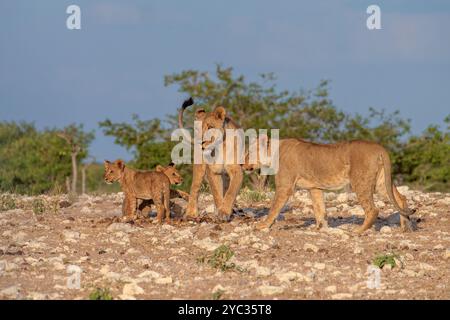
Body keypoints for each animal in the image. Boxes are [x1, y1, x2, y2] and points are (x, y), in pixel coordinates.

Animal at [243, 136, 414, 234]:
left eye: (248, 153)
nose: (241, 164)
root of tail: (380, 148)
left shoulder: (284, 187)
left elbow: (274, 208)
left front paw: (263, 225)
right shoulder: (315, 188)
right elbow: (320, 209)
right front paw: (320, 228)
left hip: (360, 181)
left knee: (373, 209)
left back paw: (357, 231)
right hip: (381, 183)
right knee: (401, 198)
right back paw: (406, 227)